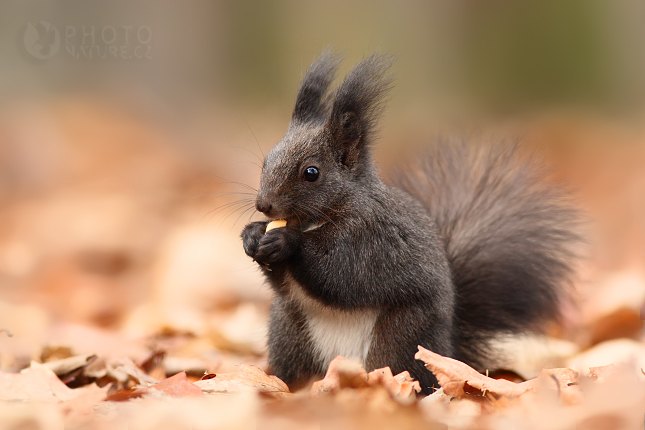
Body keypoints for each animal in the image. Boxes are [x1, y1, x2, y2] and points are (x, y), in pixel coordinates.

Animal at [239, 50, 580, 394]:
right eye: (267, 160)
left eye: (311, 173)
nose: (263, 205)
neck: (316, 220)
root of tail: (448, 348)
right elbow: (285, 284)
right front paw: (252, 236)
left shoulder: (374, 239)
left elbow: (340, 273)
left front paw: (286, 241)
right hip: (289, 334)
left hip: (402, 337)